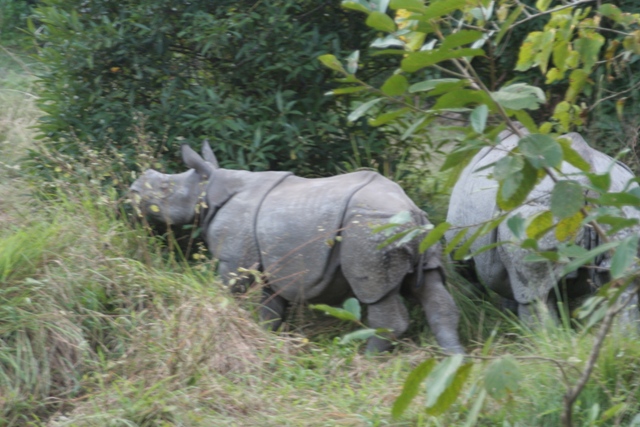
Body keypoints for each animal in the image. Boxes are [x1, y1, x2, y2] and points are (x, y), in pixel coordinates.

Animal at [130, 141, 465, 354]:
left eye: (164, 189)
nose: (132, 190)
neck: (209, 187)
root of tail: (413, 211)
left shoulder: (234, 257)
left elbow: (230, 290)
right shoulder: (270, 260)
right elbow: (270, 307)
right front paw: (266, 338)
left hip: (370, 230)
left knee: (375, 294)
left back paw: (368, 358)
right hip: (420, 230)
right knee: (432, 288)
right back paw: (453, 357)